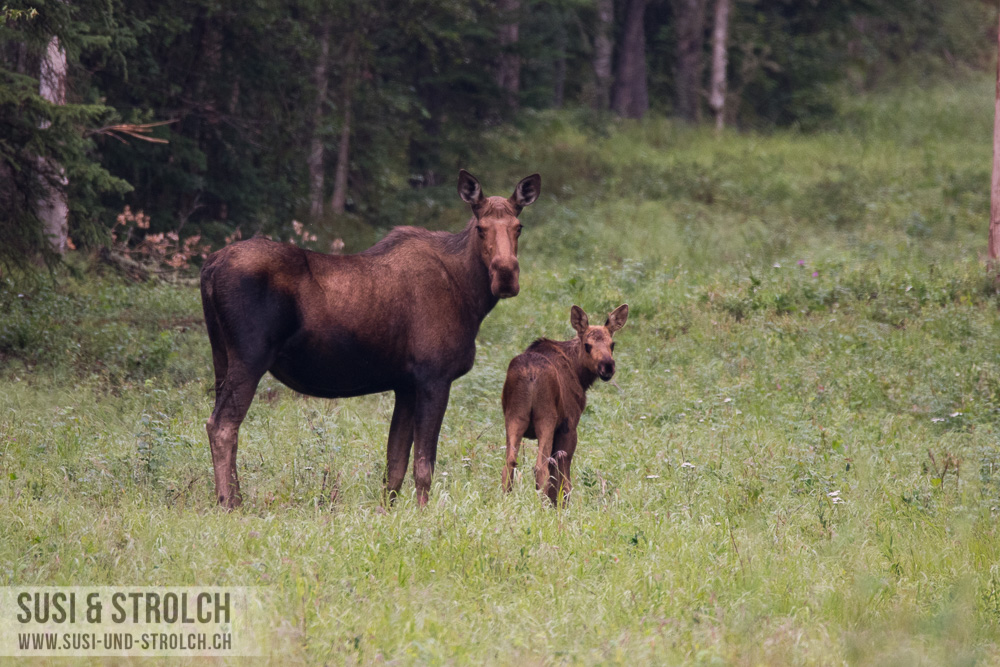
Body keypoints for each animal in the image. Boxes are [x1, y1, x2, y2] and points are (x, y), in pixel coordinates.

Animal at [196, 170, 540, 508]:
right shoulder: (434, 376)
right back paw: (230, 503)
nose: (506, 275)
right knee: (222, 425)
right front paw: (424, 514)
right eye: (481, 228)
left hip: (220, 355)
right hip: (250, 356)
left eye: (518, 227)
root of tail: (208, 268)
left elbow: (395, 467)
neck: (471, 297)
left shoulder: (406, 384)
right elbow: (424, 465)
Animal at [504, 306, 628, 504]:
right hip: (546, 418)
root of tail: (531, 374)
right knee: (540, 466)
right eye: (587, 345)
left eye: (612, 344)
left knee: (509, 462)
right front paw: (563, 504)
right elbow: (563, 473)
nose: (607, 366)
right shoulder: (568, 425)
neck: (580, 375)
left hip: (514, 416)